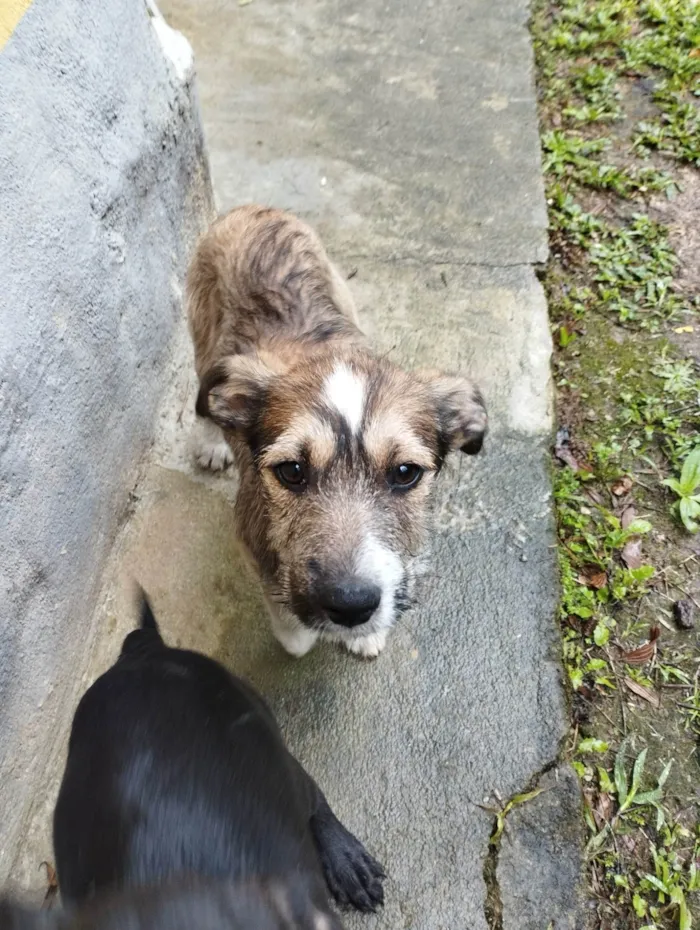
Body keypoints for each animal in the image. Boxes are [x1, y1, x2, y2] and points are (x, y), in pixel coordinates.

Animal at [190, 205, 486, 652]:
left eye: (406, 473)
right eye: (291, 471)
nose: (350, 605)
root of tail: (254, 209)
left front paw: (367, 635)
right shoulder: (250, 541)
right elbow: (291, 631)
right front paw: (304, 635)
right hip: (204, 337)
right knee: (204, 399)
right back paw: (211, 442)